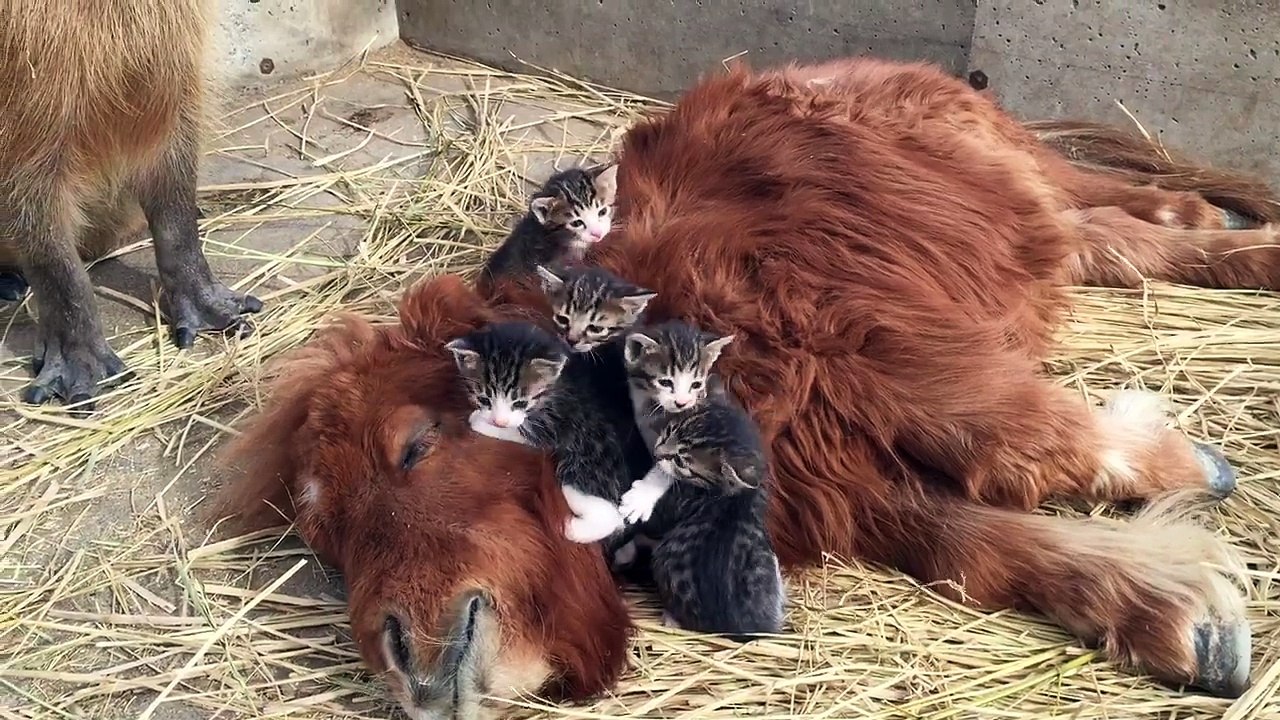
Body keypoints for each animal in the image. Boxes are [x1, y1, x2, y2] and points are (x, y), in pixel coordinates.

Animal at [215, 56, 1278, 719]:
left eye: (415, 447)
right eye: (330, 541)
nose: (405, 663)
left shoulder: (864, 338)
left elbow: (1009, 435)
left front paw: (1179, 468)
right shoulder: (816, 465)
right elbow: (962, 536)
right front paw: (1163, 606)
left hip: (1010, 177)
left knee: (1110, 215)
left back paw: (1238, 234)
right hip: (1023, 216)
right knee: (1115, 238)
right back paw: (1210, 225)